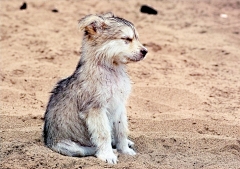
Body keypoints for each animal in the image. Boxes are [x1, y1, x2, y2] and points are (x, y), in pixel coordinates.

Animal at [43, 12, 147, 164]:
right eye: (126, 39)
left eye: (136, 37)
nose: (145, 51)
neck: (112, 70)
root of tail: (47, 141)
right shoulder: (95, 109)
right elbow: (104, 134)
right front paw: (107, 155)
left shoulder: (119, 105)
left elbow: (121, 130)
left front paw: (125, 150)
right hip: (70, 147)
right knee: (85, 149)